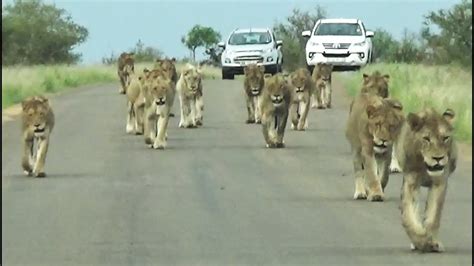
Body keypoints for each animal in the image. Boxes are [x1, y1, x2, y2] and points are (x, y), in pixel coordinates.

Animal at [392, 107, 460, 252]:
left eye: (445, 138)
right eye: (426, 139)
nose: (438, 158)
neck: (424, 166)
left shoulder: (439, 182)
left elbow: (433, 216)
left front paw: (431, 242)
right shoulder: (411, 181)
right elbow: (409, 215)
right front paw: (420, 239)